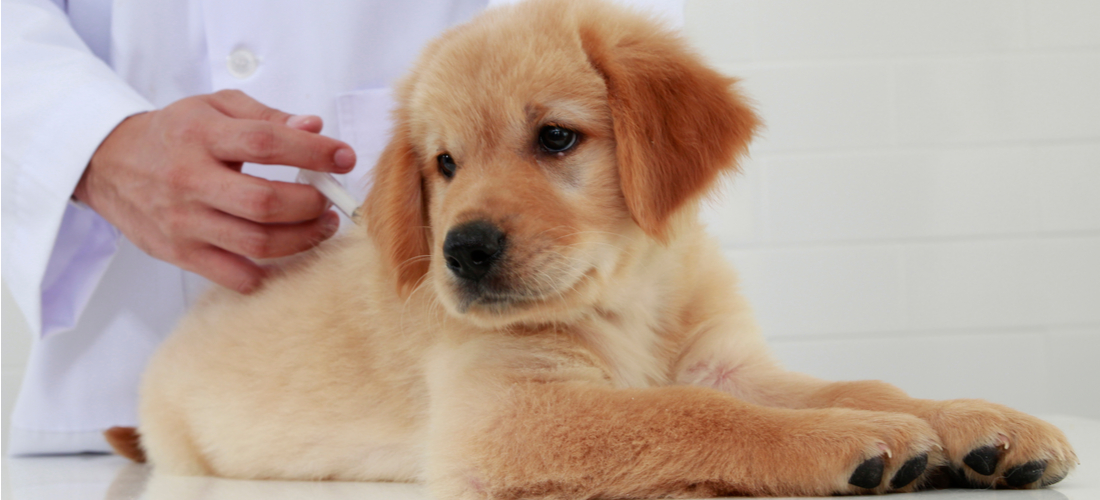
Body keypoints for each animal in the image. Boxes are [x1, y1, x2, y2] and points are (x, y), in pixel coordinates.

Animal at [133, 0, 1078, 494]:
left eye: (556, 138)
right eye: (445, 165)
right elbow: (690, 415)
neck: (633, 297)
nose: (462, 252)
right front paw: (851, 441)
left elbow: (862, 384)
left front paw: (973, 421)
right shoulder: (510, 416)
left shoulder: (727, 360)